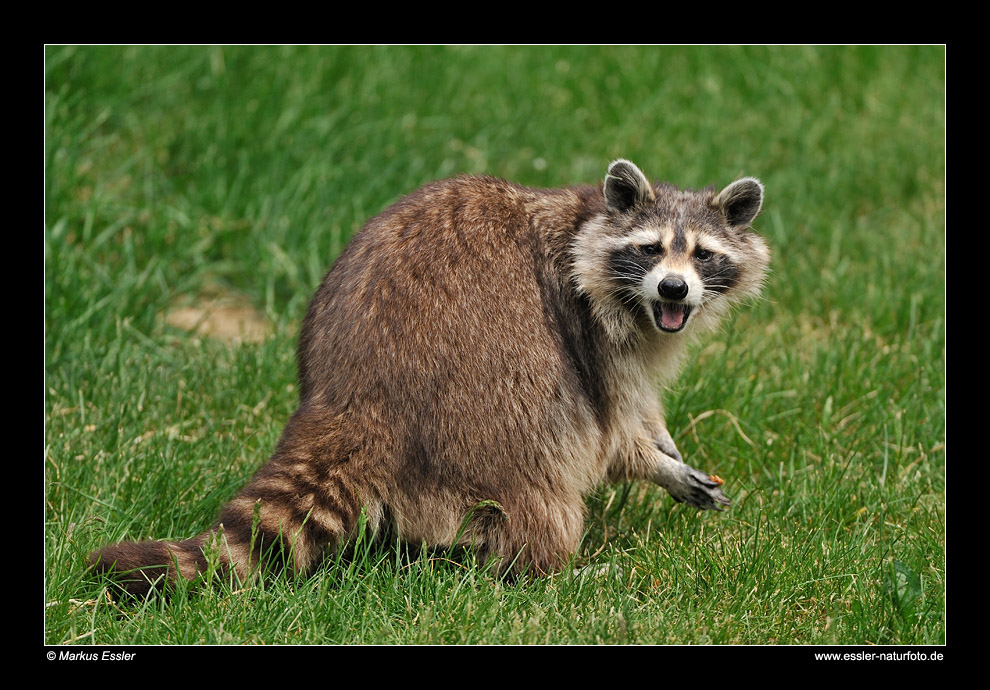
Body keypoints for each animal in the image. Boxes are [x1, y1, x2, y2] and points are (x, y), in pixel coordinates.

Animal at [89, 159, 772, 592]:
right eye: (651, 249)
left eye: (703, 255)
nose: (674, 289)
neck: (588, 223)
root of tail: (353, 399)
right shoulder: (590, 327)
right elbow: (612, 421)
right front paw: (651, 460)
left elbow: (644, 401)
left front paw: (665, 443)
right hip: (490, 398)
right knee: (548, 457)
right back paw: (552, 570)